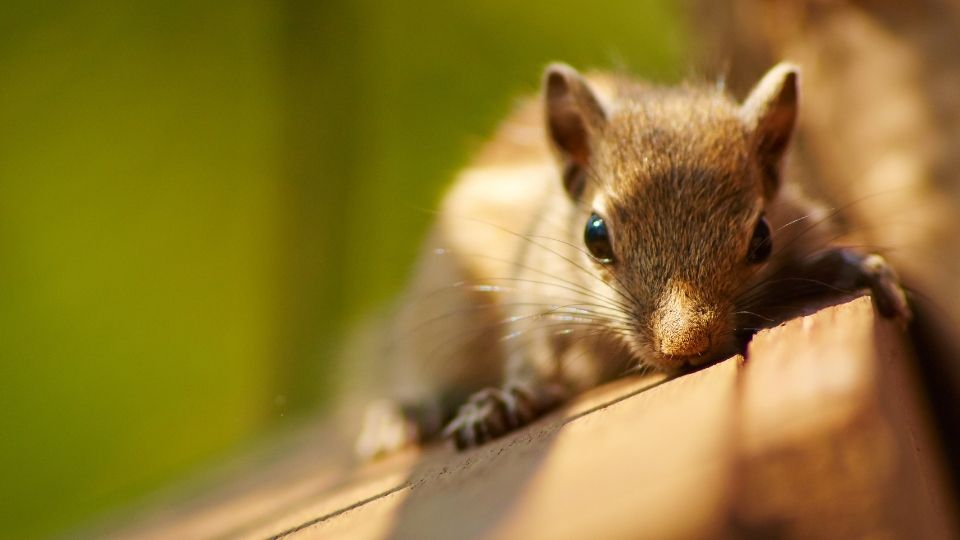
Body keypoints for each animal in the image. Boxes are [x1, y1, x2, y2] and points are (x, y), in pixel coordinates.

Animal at [356, 61, 912, 458]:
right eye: (594, 235)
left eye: (763, 238)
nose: (686, 347)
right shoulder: (536, 293)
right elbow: (532, 353)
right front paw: (509, 399)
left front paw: (859, 269)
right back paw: (401, 418)